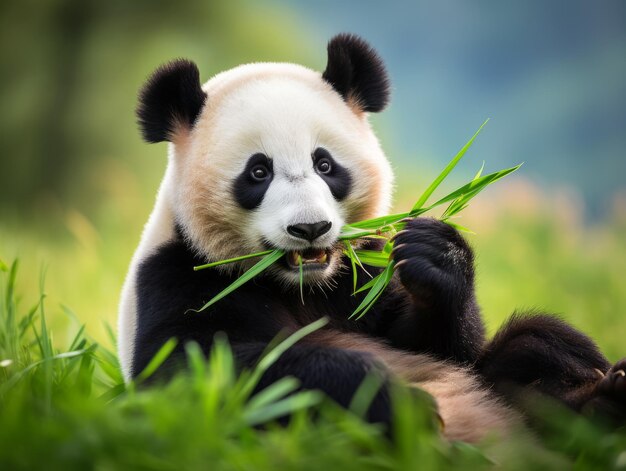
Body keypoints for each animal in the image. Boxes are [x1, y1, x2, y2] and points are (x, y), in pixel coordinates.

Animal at [117, 34, 624, 442]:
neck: (301, 286)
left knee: (539, 345)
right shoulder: (179, 275)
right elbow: (196, 369)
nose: (310, 229)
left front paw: (434, 255)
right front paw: (393, 400)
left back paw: (600, 399)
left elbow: (441, 346)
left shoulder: (359, 276)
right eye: (258, 172)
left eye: (325, 164)